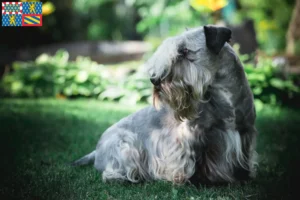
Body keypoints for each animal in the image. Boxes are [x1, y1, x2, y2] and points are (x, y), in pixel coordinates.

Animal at [72, 25, 258, 184]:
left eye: (184, 51)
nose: (154, 80)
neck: (225, 99)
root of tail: (97, 150)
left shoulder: (245, 133)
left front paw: (243, 176)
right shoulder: (188, 138)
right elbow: (188, 161)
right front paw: (186, 180)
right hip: (125, 147)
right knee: (112, 171)